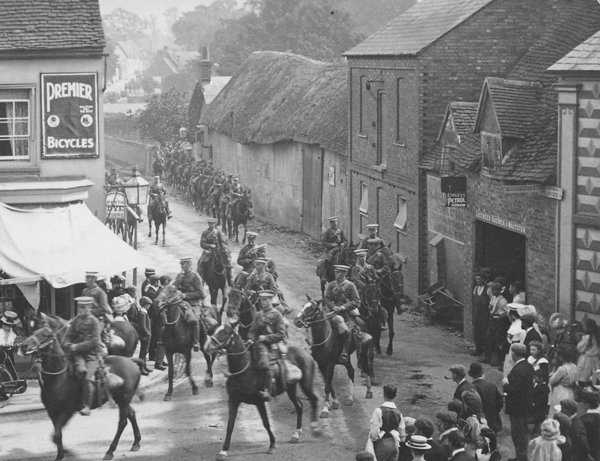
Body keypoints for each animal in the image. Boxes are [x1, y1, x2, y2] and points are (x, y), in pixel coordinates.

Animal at [20, 312, 144, 460]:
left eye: (46, 334)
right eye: (33, 330)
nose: (23, 345)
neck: (58, 377)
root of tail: (132, 362)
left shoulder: (67, 412)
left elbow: (56, 435)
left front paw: (66, 453)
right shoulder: (52, 411)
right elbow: (56, 435)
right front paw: (63, 453)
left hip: (124, 399)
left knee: (122, 422)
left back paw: (110, 451)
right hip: (120, 399)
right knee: (131, 414)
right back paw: (136, 442)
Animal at [204, 322, 322, 458]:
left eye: (225, 332)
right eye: (214, 330)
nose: (207, 347)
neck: (244, 370)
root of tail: (306, 353)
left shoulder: (259, 402)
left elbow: (266, 423)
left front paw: (272, 445)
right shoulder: (233, 401)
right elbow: (230, 425)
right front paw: (224, 450)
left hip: (306, 384)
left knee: (314, 400)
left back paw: (315, 429)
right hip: (291, 388)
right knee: (299, 406)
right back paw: (296, 435)